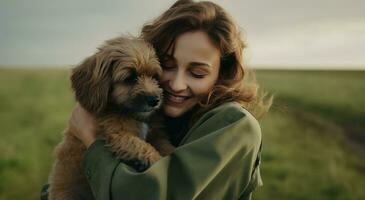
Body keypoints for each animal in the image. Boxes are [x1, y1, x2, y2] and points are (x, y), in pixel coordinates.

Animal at [48, 36, 175, 200]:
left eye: (154, 76)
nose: (155, 100)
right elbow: (139, 145)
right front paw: (155, 159)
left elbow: (165, 146)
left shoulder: (157, 135)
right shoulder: (117, 133)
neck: (129, 112)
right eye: (130, 78)